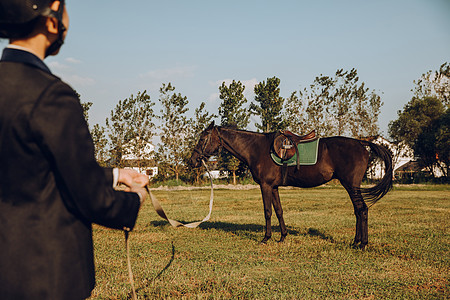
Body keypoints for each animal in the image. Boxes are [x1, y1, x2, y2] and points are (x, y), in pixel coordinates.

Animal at [189, 120, 390, 250]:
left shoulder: (265, 186)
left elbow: (267, 212)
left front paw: (266, 238)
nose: (193, 160)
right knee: (358, 211)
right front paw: (282, 237)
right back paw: (355, 242)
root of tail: (362, 144)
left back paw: (362, 244)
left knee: (362, 210)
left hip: (351, 185)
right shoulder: (274, 187)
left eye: (202, 138)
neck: (256, 149)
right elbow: (279, 211)